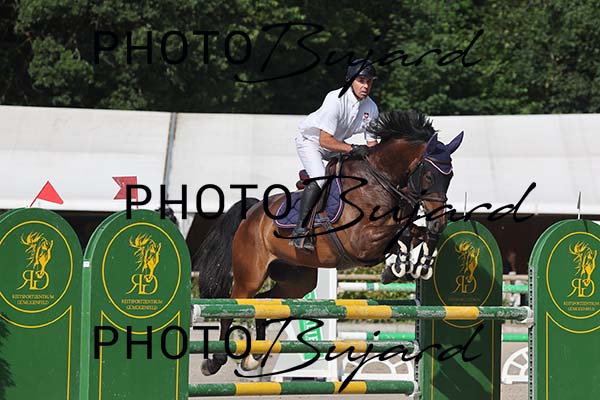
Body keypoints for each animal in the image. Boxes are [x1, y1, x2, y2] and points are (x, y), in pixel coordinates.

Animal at [192, 109, 463, 375]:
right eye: (428, 176)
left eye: (450, 177)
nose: (440, 222)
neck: (381, 180)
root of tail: (253, 212)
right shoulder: (360, 240)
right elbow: (400, 232)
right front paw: (398, 267)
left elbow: (416, 234)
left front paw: (413, 266)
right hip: (250, 275)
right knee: (233, 307)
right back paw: (214, 362)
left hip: (296, 280)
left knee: (263, 302)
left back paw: (254, 357)